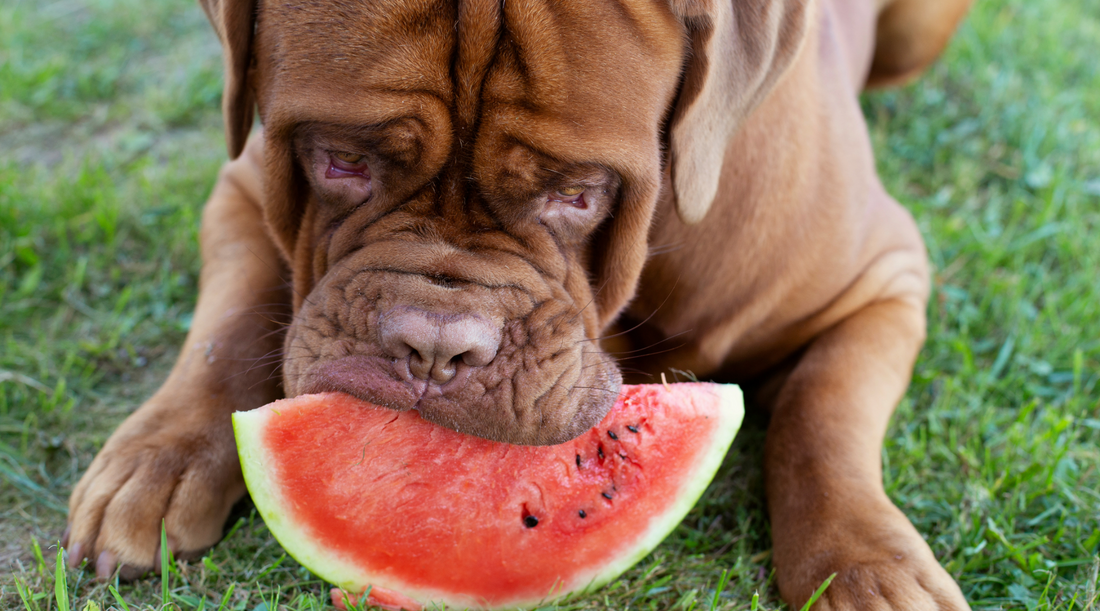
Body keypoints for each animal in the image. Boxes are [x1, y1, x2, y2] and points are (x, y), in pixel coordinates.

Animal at [64, 0, 972, 607]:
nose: (432, 347)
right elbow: (222, 336)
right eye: (338, 160)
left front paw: (867, 561)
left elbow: (823, 415)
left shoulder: (882, 280)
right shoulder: (243, 191)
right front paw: (159, 462)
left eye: (578, 193)